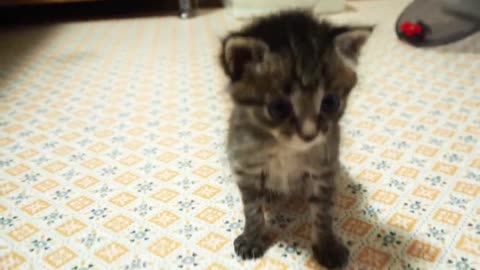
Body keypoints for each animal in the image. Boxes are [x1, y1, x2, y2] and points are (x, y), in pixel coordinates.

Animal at [219, 9, 370, 268]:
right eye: (278, 108)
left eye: (330, 102)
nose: (309, 134)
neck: (285, 149)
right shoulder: (245, 166)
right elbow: (252, 209)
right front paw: (252, 238)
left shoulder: (324, 168)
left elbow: (323, 213)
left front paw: (327, 246)